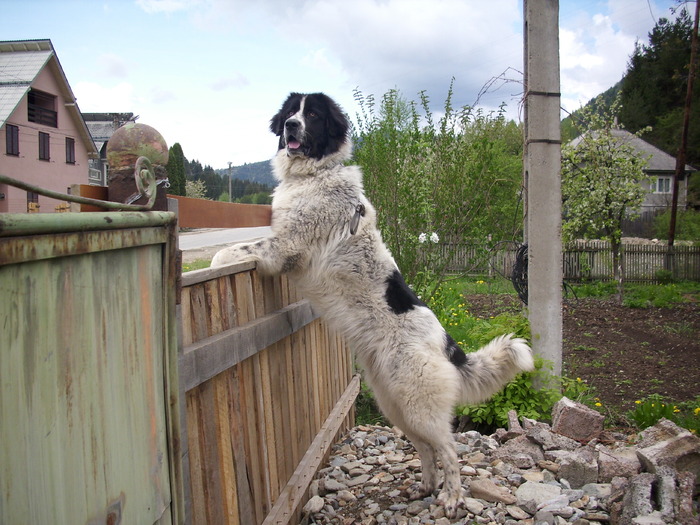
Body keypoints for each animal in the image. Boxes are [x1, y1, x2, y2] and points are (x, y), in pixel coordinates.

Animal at [211, 91, 532, 516]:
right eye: (291, 112)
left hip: (418, 405)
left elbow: (237, 250)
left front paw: (213, 262)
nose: (291, 126)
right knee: (425, 448)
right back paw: (425, 487)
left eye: (313, 115)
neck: (315, 175)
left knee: (448, 449)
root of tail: (447, 344)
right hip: (395, 402)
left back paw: (451, 497)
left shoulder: (285, 246)